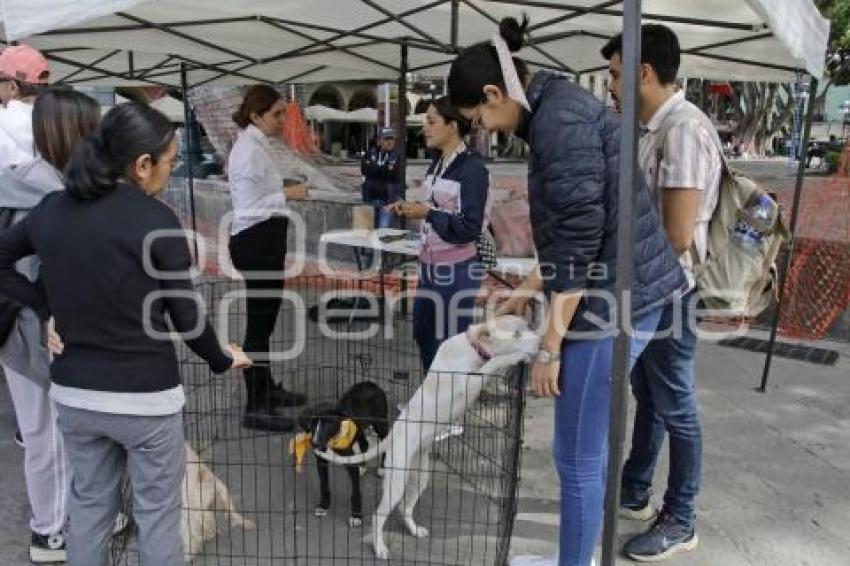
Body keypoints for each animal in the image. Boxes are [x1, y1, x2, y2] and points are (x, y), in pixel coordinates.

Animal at [296, 382, 390, 528]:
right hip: (361, 428)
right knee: (364, 443)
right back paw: (362, 466)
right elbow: (324, 485)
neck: (332, 441)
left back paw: (381, 468)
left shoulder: (349, 463)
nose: (315, 443)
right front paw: (323, 506)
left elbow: (355, 493)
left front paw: (356, 516)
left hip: (380, 423)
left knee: (384, 441)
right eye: (312, 423)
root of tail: (371, 383)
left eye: (328, 423)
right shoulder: (321, 461)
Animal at [318, 318, 536, 560]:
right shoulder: (468, 382)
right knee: (378, 516)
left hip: (420, 476)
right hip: (397, 480)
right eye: (517, 334)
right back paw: (380, 547)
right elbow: (494, 363)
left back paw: (413, 530)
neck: (473, 347)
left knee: (405, 507)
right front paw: (519, 357)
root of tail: (392, 435)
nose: (540, 342)